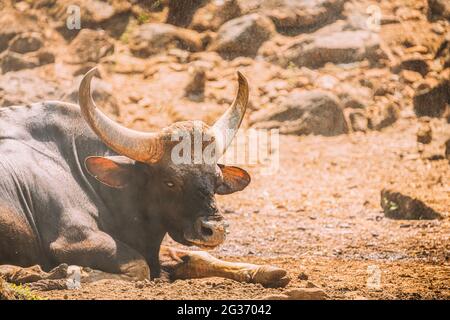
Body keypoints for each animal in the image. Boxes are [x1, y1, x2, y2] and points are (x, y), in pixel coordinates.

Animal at [0, 68, 288, 290]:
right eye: (170, 181)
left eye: (216, 181)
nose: (214, 231)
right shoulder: (72, 239)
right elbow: (140, 267)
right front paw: (64, 274)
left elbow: (197, 257)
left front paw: (265, 271)